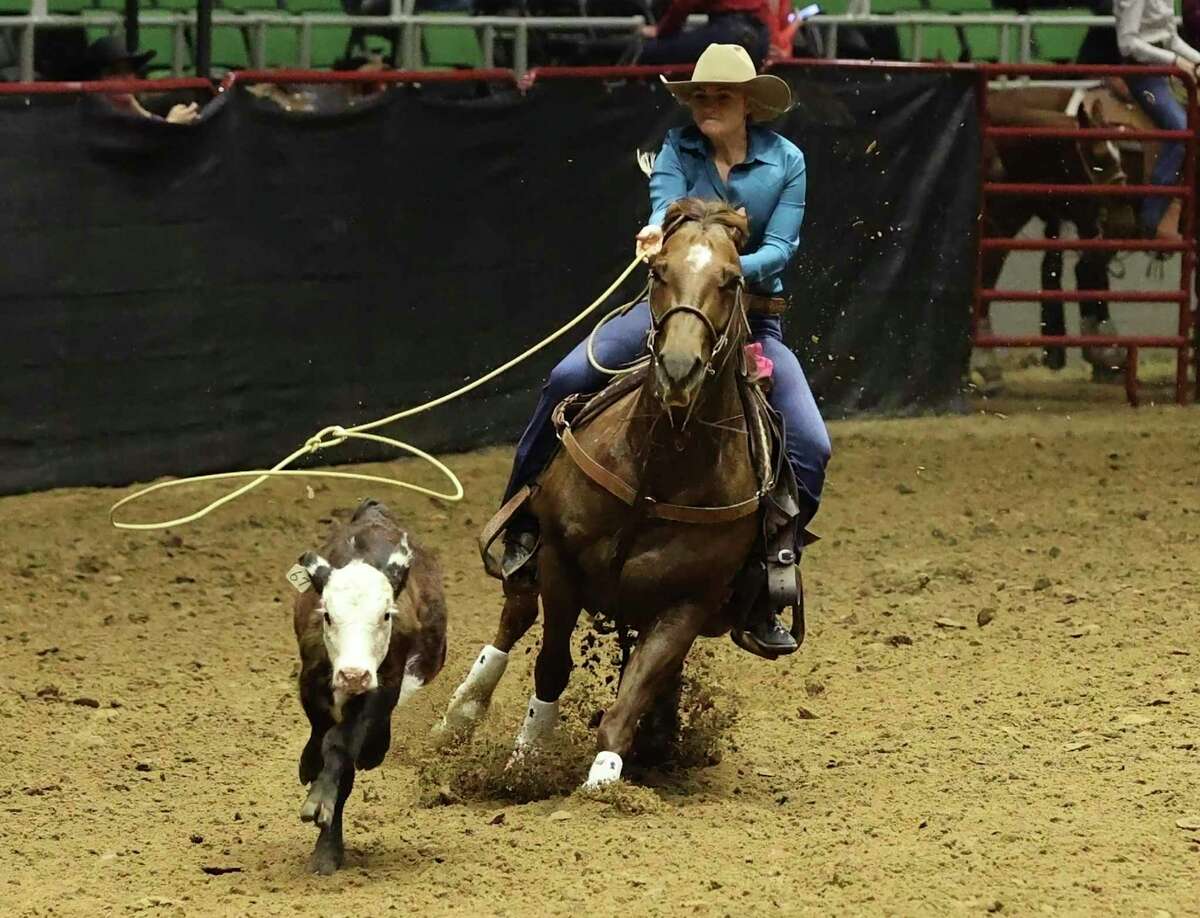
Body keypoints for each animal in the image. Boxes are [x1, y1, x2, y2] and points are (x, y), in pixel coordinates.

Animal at [290, 496, 446, 868]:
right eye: (327, 615)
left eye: (386, 614)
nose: (353, 674)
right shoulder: (313, 680)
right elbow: (323, 736)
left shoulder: (384, 685)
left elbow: (341, 745)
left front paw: (321, 810)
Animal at [436, 196, 782, 782]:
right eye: (658, 270)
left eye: (732, 280)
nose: (679, 369)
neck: (658, 473)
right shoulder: (562, 565)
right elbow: (552, 665)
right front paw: (528, 756)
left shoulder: (689, 603)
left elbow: (630, 698)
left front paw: (606, 778)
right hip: (533, 550)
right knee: (515, 615)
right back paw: (459, 715)